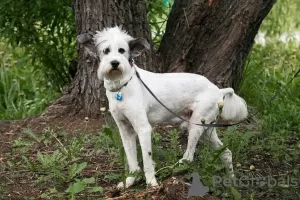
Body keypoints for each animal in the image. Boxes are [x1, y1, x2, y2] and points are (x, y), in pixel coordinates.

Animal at [76, 27, 247, 189]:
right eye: (106, 51)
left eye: (122, 50)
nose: (115, 63)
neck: (122, 86)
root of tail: (218, 90)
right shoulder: (125, 130)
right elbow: (131, 160)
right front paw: (130, 180)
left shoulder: (143, 128)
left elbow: (147, 159)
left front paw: (151, 183)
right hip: (206, 129)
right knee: (226, 152)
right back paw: (231, 181)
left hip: (196, 126)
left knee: (189, 157)